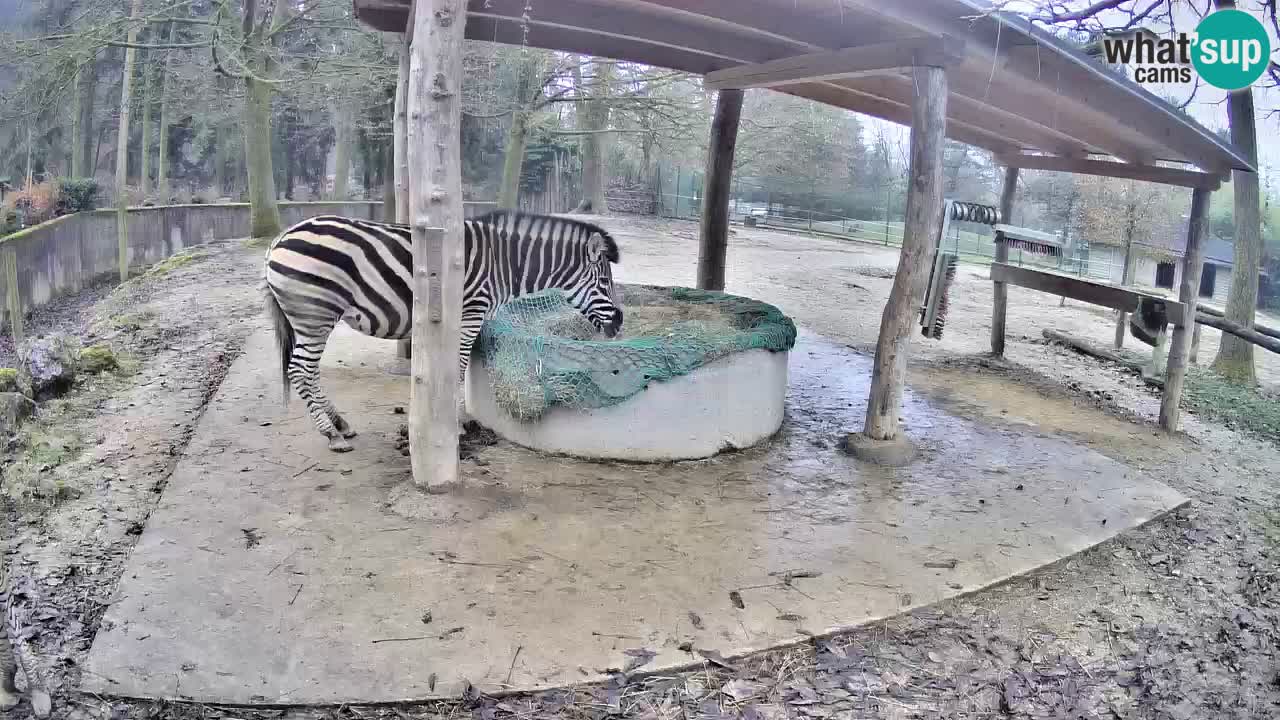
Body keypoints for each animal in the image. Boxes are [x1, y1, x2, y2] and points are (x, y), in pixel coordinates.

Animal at [263, 210, 624, 452]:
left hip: (309, 318)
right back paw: (331, 434)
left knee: (308, 371)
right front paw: (459, 426)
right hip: (315, 313)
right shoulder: (470, 313)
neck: (505, 264)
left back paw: (340, 424)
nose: (620, 323)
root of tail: (279, 238)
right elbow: (460, 367)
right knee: (299, 370)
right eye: (605, 282)